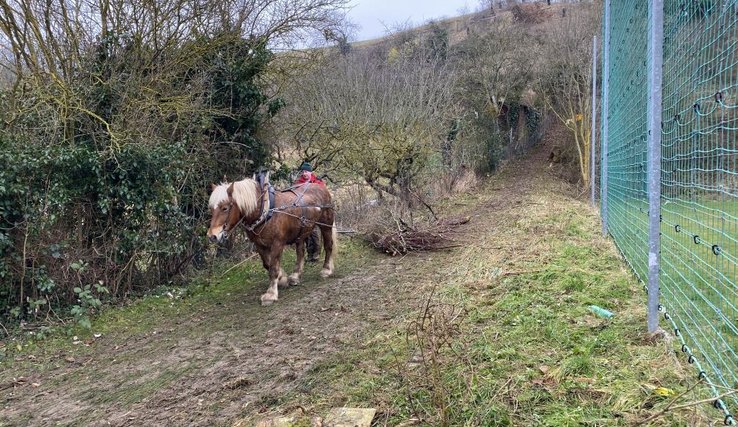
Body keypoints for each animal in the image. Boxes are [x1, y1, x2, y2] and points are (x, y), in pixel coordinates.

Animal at [206, 172, 334, 306]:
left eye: (225, 208)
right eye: (211, 209)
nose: (212, 236)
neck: (266, 210)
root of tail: (321, 187)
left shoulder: (277, 243)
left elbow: (273, 267)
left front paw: (271, 294)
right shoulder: (259, 245)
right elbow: (267, 264)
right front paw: (282, 278)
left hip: (326, 225)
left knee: (328, 245)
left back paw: (326, 270)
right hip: (301, 232)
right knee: (300, 252)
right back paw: (295, 276)